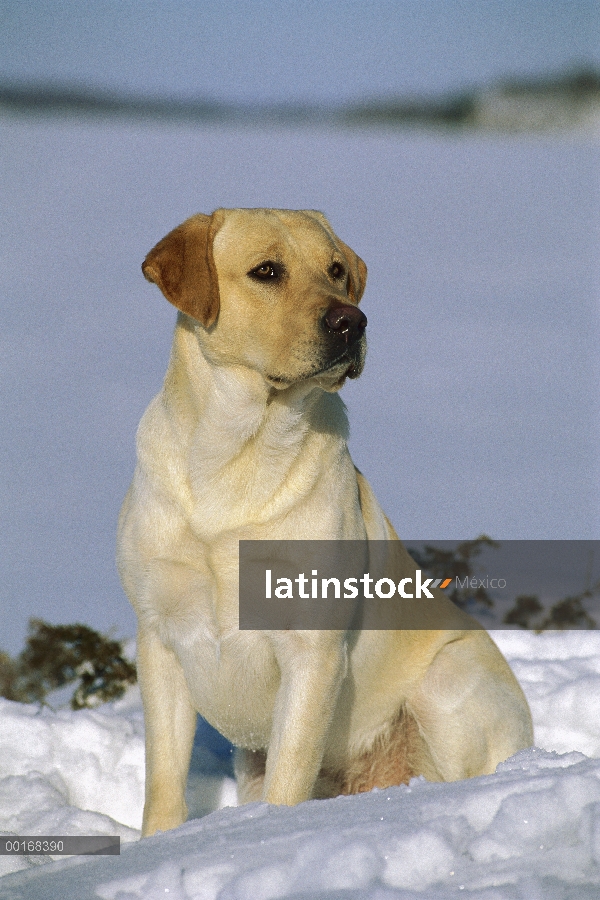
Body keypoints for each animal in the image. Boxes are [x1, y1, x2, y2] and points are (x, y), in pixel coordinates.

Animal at [116, 206, 528, 836]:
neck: (233, 458)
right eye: (266, 270)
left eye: (336, 270)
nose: (351, 321)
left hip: (448, 678)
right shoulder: (160, 636)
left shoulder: (312, 649)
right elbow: (164, 779)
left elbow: (291, 772)